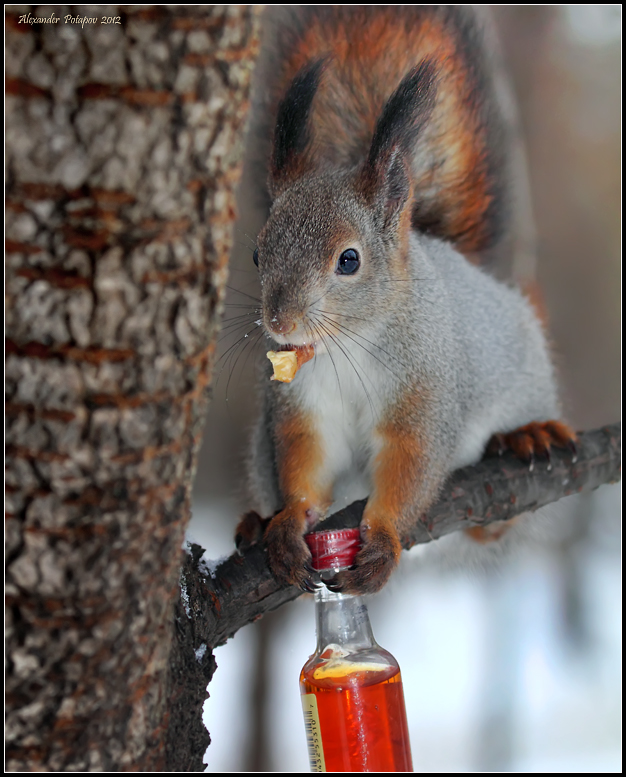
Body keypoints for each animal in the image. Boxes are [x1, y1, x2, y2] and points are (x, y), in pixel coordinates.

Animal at [235, 6, 576, 596]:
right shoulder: (301, 404)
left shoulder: (425, 395)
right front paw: (285, 524)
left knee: (492, 525)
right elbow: (304, 459)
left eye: (349, 260)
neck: (348, 345)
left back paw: (527, 436)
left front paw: (384, 539)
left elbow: (410, 461)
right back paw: (257, 521)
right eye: (258, 254)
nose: (280, 322)